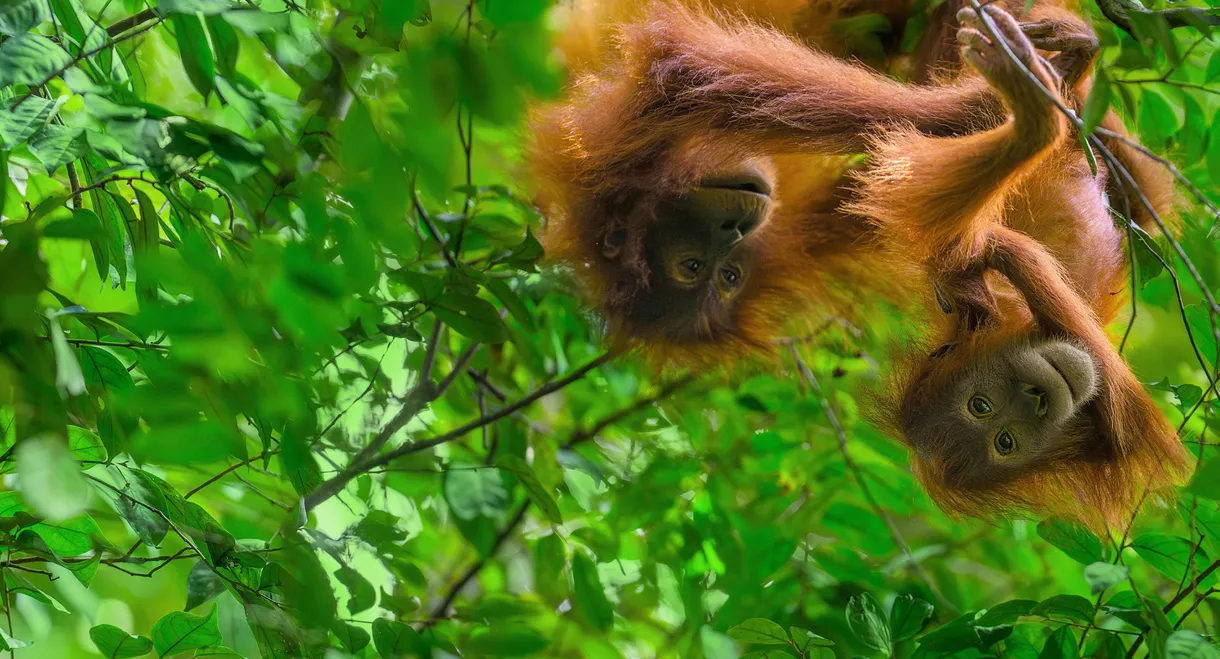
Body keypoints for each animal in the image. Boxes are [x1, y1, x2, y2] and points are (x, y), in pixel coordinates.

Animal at [845, 4, 1191, 530]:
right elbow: (1131, 419)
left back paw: (1064, 52)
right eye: (1001, 437)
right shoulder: (1115, 428)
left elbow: (914, 208)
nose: (1037, 398)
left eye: (980, 406)